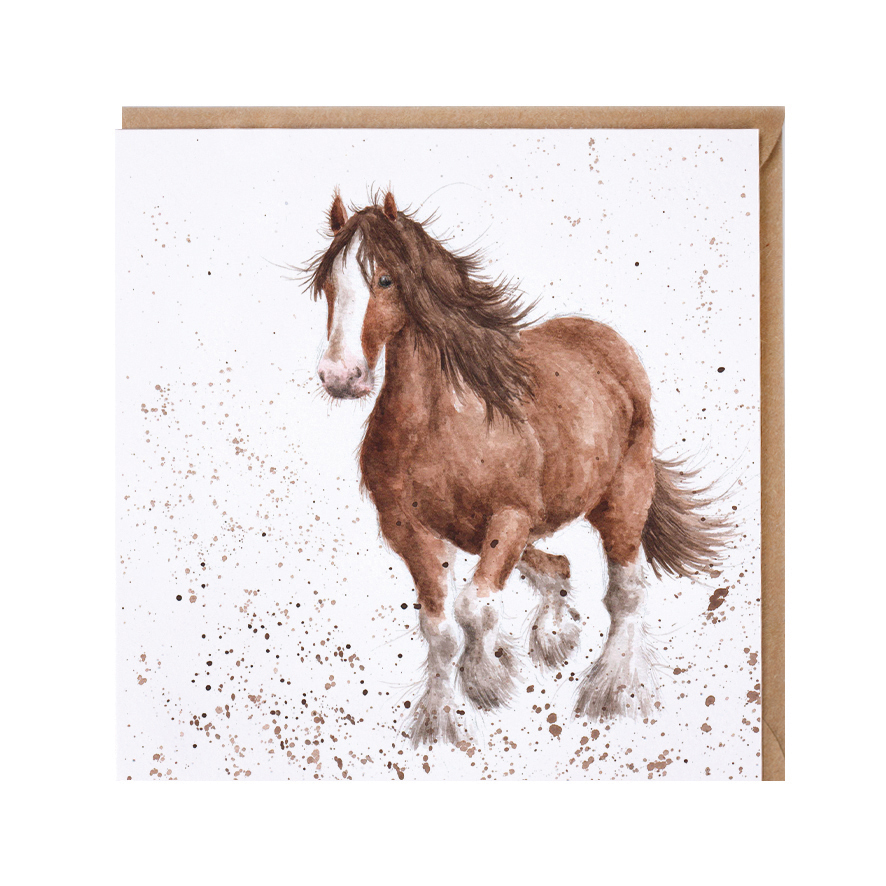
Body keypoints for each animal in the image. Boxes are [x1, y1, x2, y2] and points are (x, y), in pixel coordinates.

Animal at [304, 190, 730, 746]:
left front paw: (486, 680)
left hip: (623, 498)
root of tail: (608, 344)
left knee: (626, 594)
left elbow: (474, 608)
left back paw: (613, 692)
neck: (440, 423)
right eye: (328, 285)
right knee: (558, 568)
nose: (341, 376)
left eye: (385, 279)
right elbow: (440, 631)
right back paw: (554, 636)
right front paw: (439, 721)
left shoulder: (509, 518)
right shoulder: (410, 532)